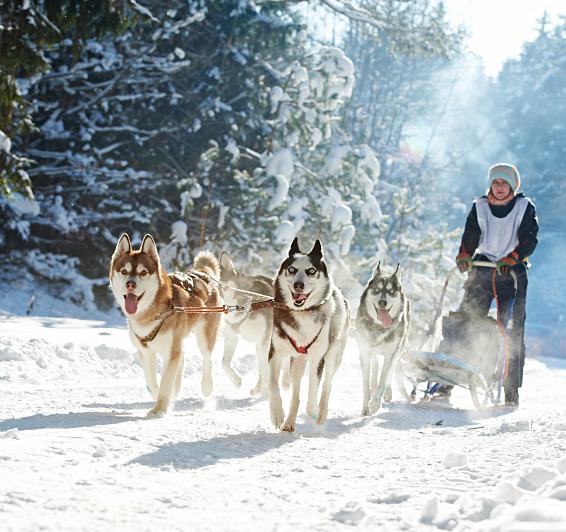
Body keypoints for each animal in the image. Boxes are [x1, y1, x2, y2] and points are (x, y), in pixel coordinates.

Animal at [110, 233, 223, 416]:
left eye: (143, 272)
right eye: (124, 271)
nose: (130, 284)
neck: (149, 315)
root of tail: (201, 273)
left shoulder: (170, 352)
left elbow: (165, 383)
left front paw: (159, 409)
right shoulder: (146, 352)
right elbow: (152, 383)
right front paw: (165, 399)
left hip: (204, 335)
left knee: (207, 358)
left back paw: (206, 386)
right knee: (183, 357)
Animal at [268, 239, 350, 430]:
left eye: (311, 271)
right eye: (292, 269)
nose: (299, 285)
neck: (302, 313)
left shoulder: (317, 359)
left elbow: (314, 391)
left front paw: (313, 411)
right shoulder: (276, 353)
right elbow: (273, 385)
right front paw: (277, 413)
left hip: (332, 356)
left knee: (327, 385)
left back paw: (321, 413)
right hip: (296, 363)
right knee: (296, 393)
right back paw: (290, 422)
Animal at [358, 262, 410, 416]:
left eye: (391, 291)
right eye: (376, 290)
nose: (382, 302)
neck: (379, 327)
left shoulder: (390, 354)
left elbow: (384, 378)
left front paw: (375, 403)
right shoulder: (364, 353)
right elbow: (366, 383)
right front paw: (365, 407)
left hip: (398, 351)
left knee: (390, 371)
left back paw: (387, 393)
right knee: (375, 365)